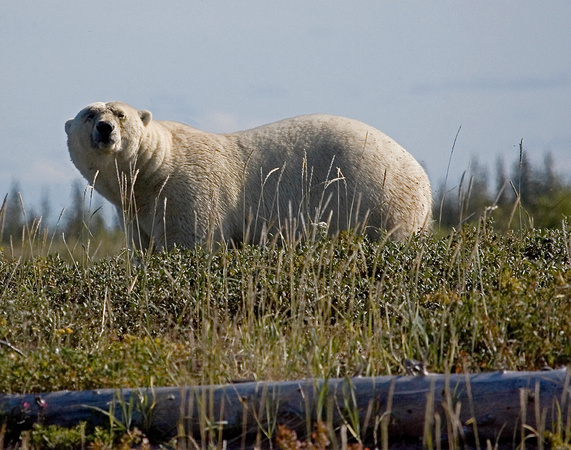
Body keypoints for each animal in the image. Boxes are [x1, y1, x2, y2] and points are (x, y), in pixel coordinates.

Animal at [66, 101, 434, 250]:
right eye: (88, 115)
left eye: (120, 113)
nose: (104, 128)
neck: (155, 170)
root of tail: (424, 180)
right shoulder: (134, 209)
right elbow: (143, 247)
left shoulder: (189, 192)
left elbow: (192, 242)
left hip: (378, 199)